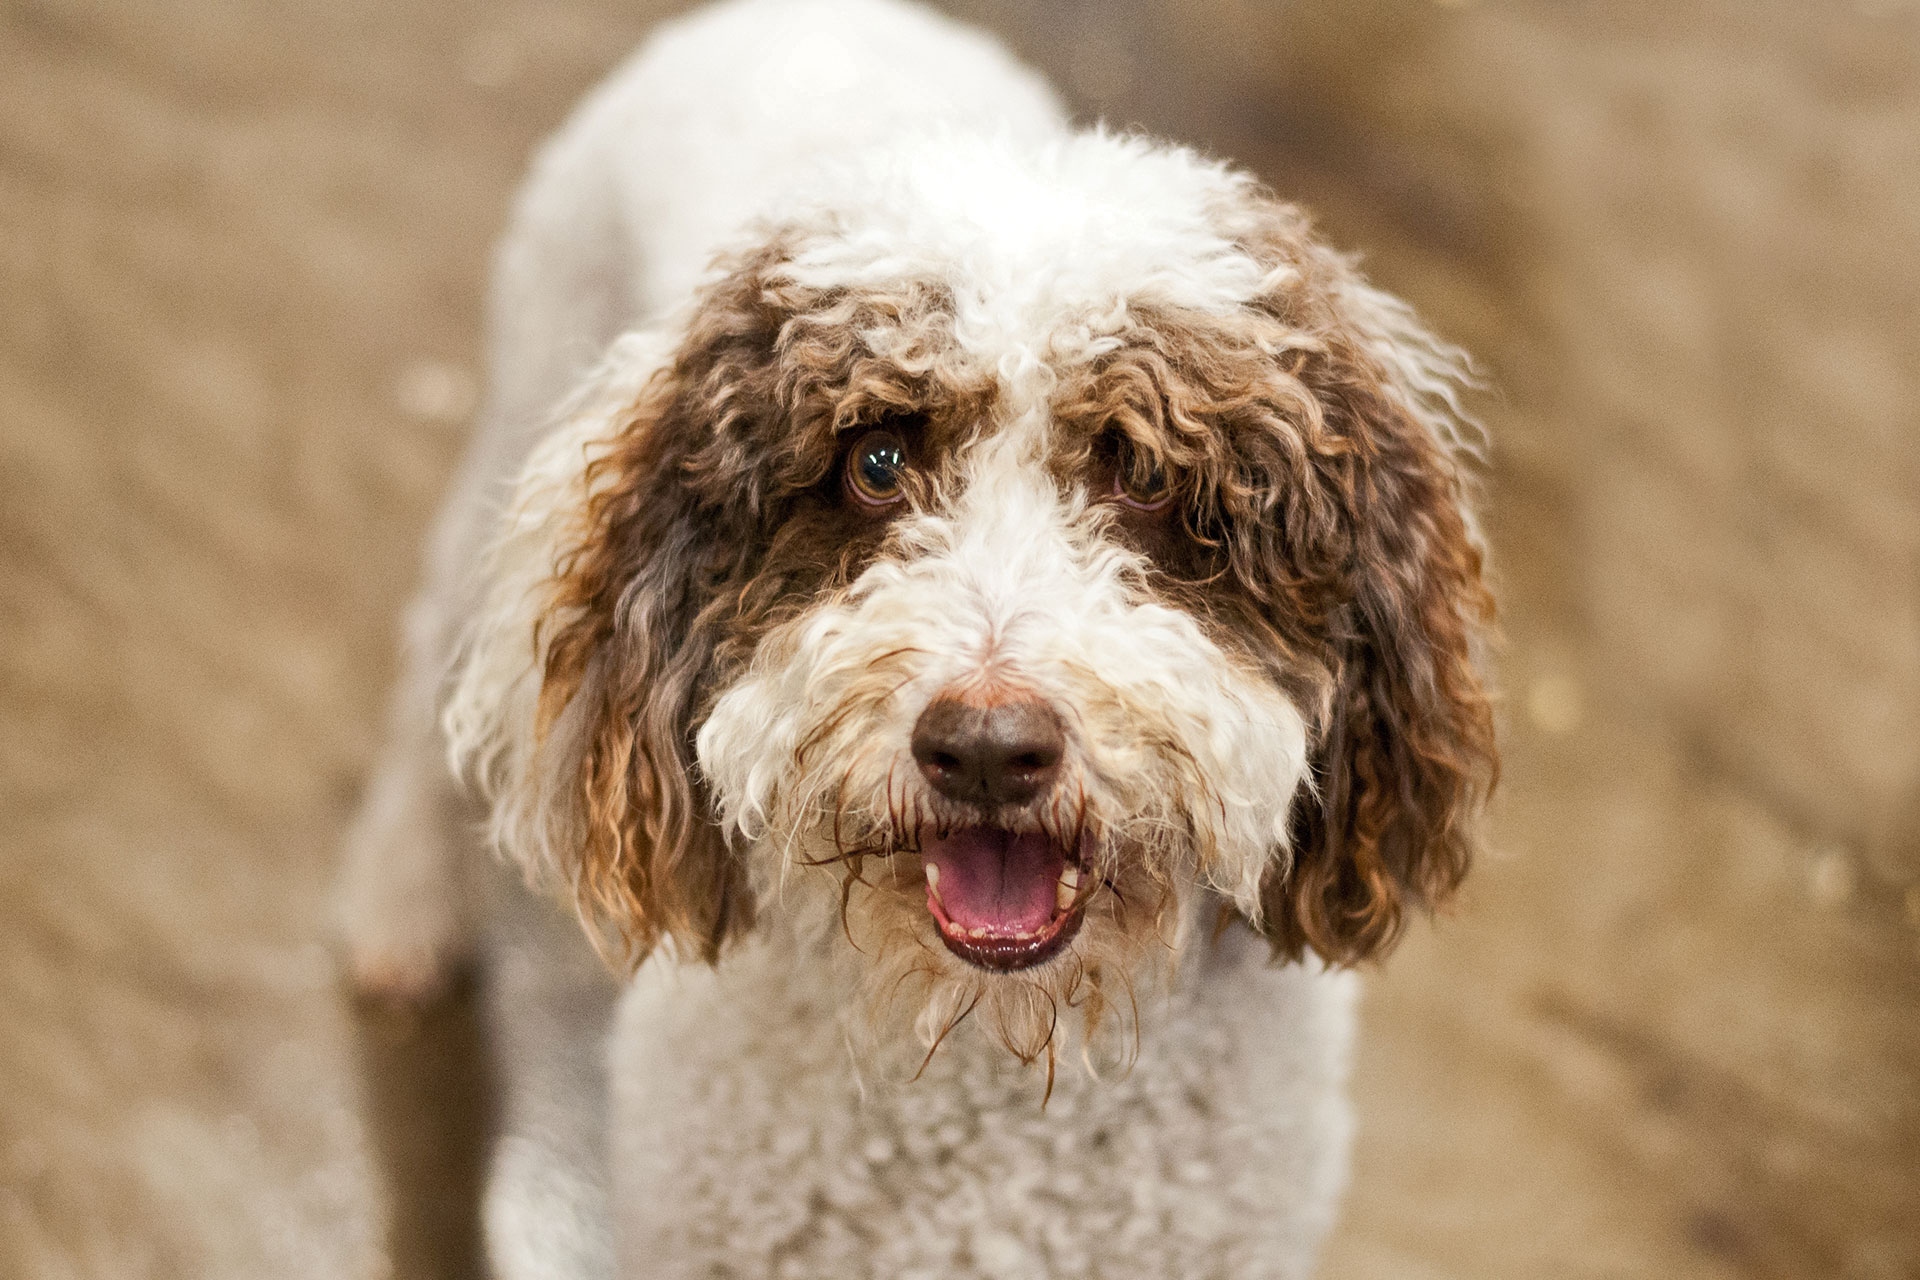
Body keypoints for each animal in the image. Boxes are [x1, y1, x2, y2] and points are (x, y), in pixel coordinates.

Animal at [337, 2, 1489, 1274]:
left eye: (1144, 474)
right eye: (877, 462)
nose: (986, 747)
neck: (991, 1076)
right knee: (431, 693)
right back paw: (399, 915)